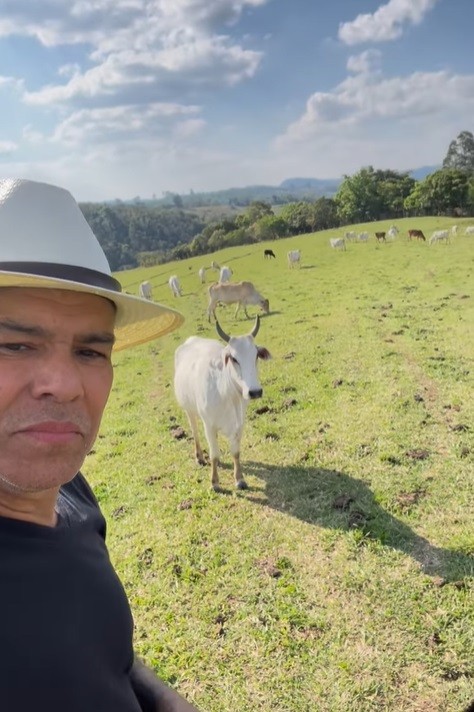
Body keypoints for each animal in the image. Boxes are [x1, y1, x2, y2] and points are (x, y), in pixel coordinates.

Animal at [173, 318, 270, 490]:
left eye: (256, 356)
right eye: (234, 358)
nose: (255, 392)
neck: (227, 394)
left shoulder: (239, 424)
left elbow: (236, 452)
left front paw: (239, 479)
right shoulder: (209, 425)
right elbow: (214, 454)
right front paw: (215, 482)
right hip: (189, 409)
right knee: (195, 431)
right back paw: (199, 457)